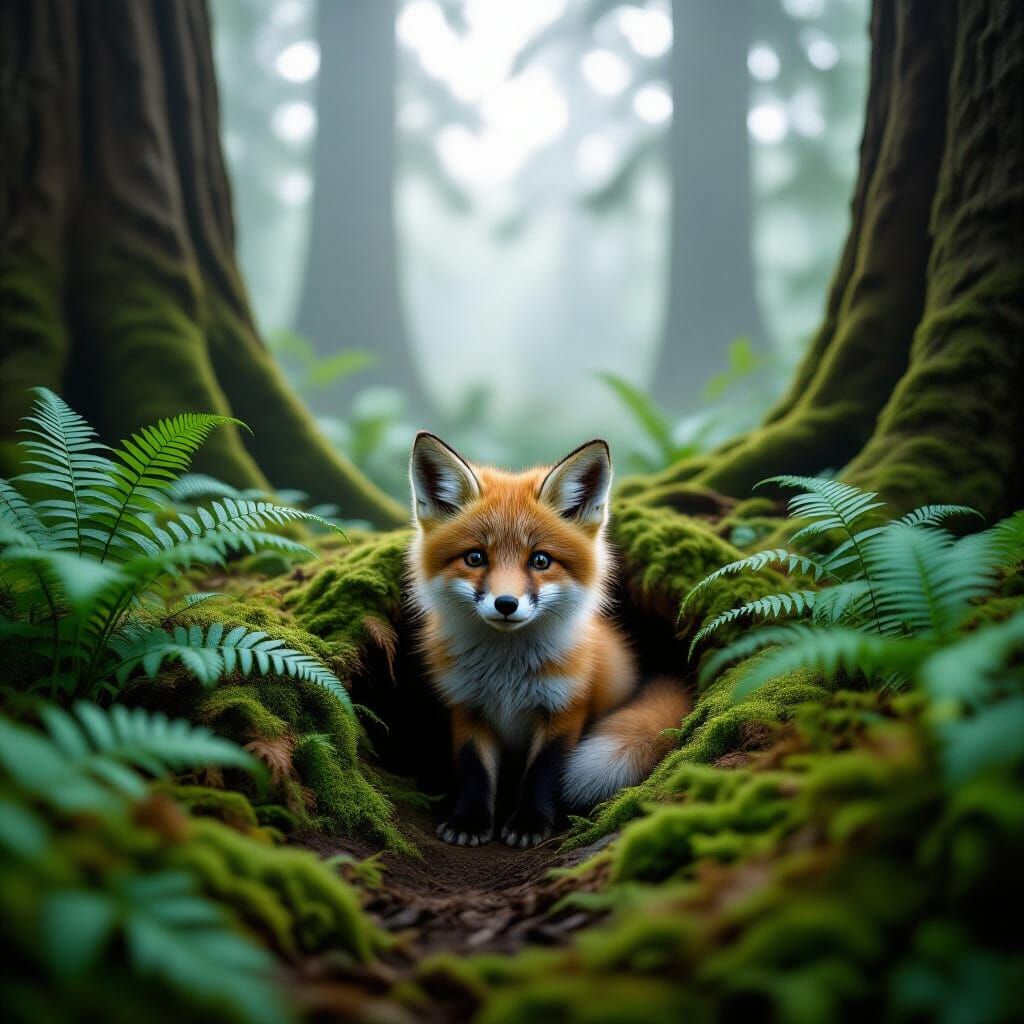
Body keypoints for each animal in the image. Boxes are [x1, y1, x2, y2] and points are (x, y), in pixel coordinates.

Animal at [407, 431, 690, 848]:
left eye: (540, 561)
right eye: (475, 558)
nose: (506, 604)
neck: (506, 674)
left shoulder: (565, 707)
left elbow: (543, 773)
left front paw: (529, 823)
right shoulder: (467, 705)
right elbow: (474, 771)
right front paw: (469, 822)